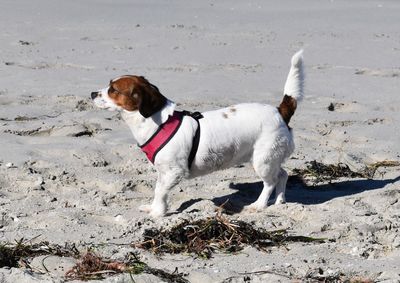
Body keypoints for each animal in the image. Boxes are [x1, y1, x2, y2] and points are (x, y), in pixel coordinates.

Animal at [90, 50, 304, 217]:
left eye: (113, 90)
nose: (92, 93)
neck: (158, 122)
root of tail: (279, 111)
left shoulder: (173, 172)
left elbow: (160, 192)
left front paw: (157, 213)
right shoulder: (163, 172)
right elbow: (157, 190)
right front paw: (153, 208)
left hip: (263, 161)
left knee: (270, 182)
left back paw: (259, 205)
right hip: (269, 159)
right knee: (283, 175)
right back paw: (280, 201)